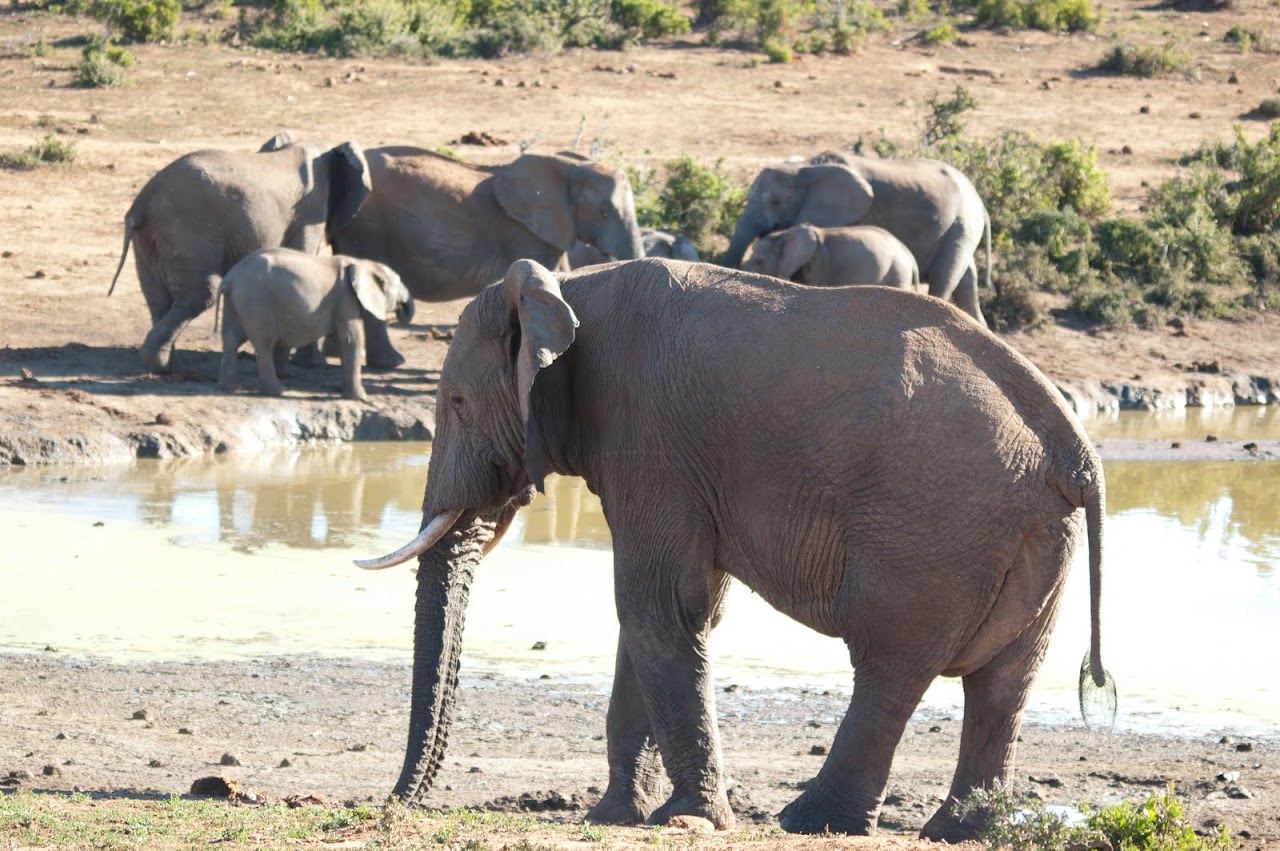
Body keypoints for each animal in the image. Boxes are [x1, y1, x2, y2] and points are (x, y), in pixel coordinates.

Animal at [108, 135, 374, 373]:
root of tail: (140, 205)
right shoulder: (310, 210)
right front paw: (312, 365)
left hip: (151, 239)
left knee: (158, 297)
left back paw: (167, 366)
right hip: (186, 230)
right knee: (202, 293)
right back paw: (164, 366)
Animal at [217, 248, 413, 402]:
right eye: (398, 282)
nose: (402, 310)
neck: (361, 263)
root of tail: (230, 277)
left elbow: (343, 339)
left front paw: (342, 391)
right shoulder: (346, 298)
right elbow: (351, 339)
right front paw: (361, 398)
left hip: (236, 301)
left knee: (231, 339)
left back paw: (230, 388)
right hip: (256, 301)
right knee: (264, 343)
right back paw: (277, 391)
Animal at [356, 257, 1109, 841]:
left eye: (457, 403)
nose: (393, 804)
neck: (569, 287)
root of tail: (1072, 451)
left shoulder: (649, 438)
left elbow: (658, 604)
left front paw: (686, 818)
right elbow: (666, 613)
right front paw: (613, 816)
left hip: (931, 530)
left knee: (890, 666)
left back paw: (809, 822)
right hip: (1030, 535)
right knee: (1004, 682)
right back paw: (957, 831)